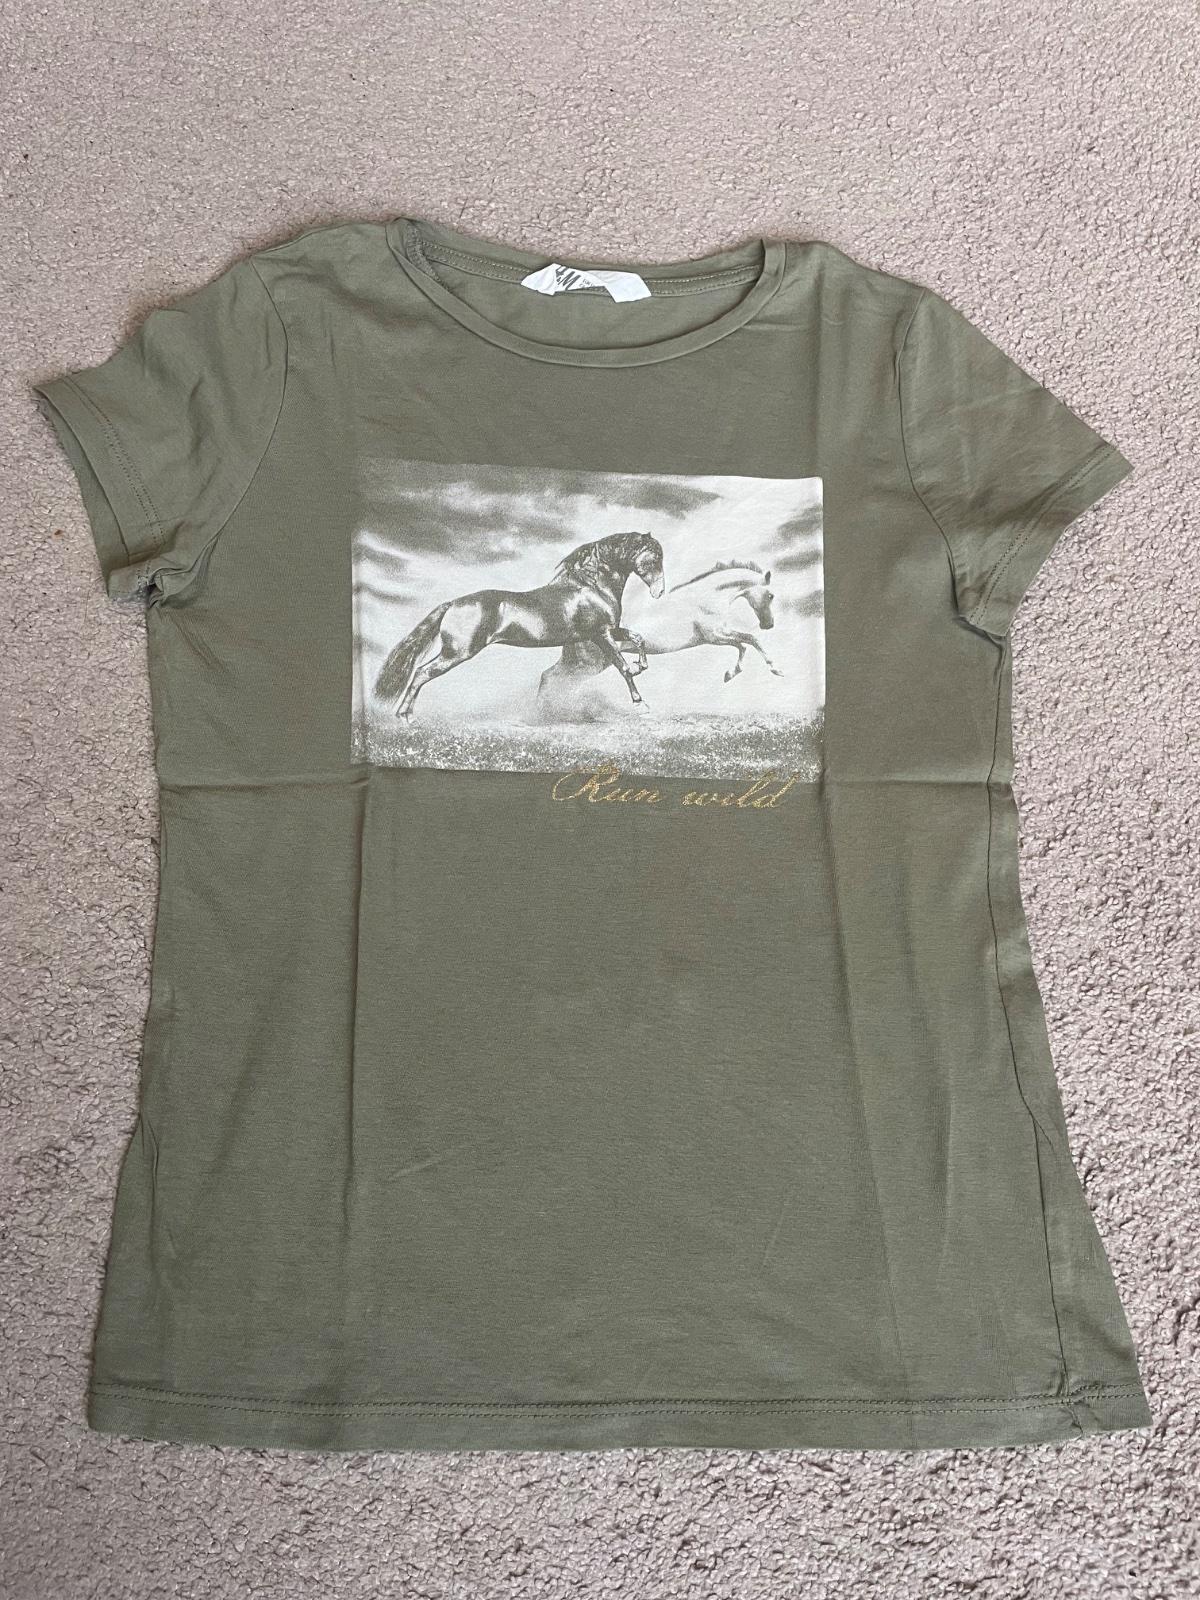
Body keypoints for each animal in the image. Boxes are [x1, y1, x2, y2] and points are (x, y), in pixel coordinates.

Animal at [374, 531, 665, 722]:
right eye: (653, 558)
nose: (660, 592)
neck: (591, 586)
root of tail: (453, 603)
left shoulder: (609, 630)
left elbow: (638, 638)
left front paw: (642, 665)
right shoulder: (600, 634)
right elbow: (622, 667)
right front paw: (641, 704)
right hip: (457, 652)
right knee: (421, 672)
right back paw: (406, 717)